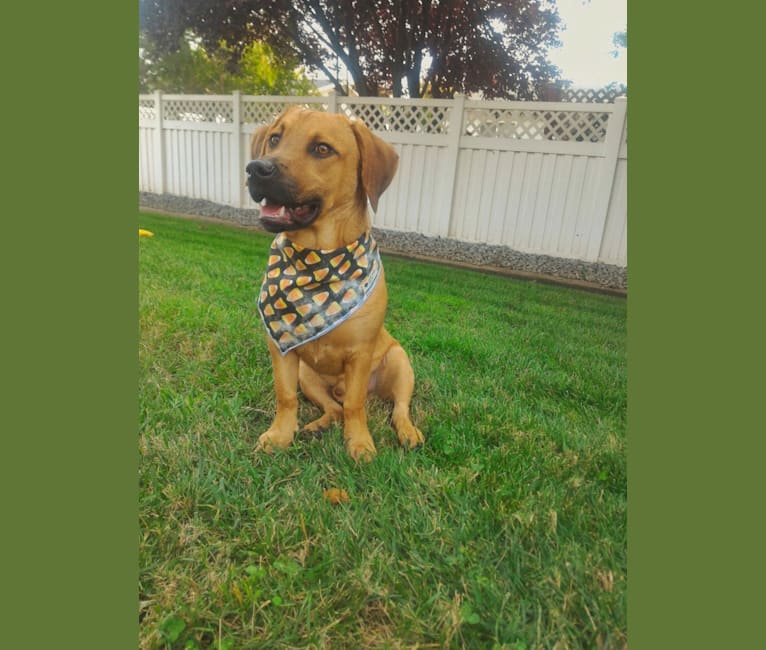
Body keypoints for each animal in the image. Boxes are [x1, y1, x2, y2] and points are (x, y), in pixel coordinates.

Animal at [248, 106, 424, 458]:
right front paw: (280, 434)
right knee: (334, 407)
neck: (319, 257)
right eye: (275, 138)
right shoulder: (281, 350)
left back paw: (408, 432)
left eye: (322, 149)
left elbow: (356, 405)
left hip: (400, 363)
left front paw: (359, 442)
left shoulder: (360, 354)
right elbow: (285, 397)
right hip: (308, 376)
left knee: (397, 407)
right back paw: (318, 424)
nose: (256, 168)